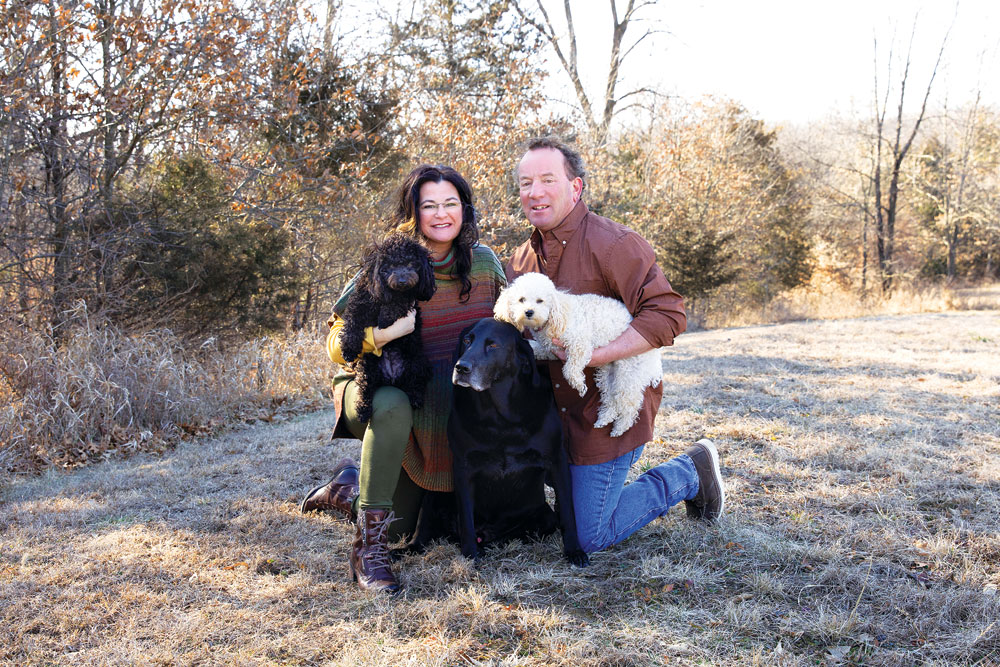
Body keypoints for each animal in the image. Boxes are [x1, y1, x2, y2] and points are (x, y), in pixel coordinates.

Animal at [338, 235, 436, 422]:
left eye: (411, 263)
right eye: (389, 266)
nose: (402, 281)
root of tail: (392, 378)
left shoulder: (408, 299)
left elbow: (398, 303)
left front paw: (385, 317)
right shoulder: (360, 304)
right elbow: (352, 325)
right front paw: (349, 349)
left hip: (418, 362)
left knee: (416, 383)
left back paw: (415, 399)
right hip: (367, 367)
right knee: (365, 389)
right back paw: (362, 411)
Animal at [494, 272, 664, 438]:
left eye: (540, 301)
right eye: (521, 300)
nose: (528, 312)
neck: (558, 313)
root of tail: (654, 352)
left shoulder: (579, 344)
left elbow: (570, 369)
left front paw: (579, 385)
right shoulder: (549, 349)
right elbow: (535, 348)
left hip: (628, 373)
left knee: (630, 403)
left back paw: (621, 427)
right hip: (608, 374)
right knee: (610, 399)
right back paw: (604, 419)